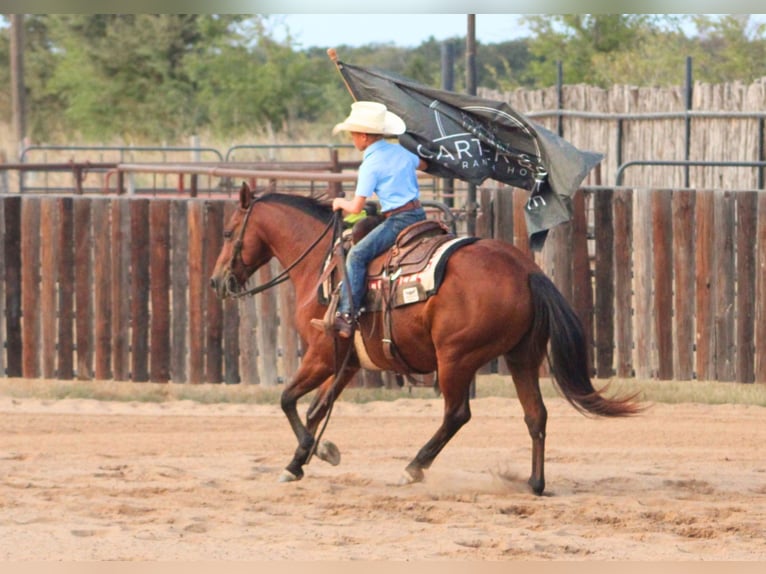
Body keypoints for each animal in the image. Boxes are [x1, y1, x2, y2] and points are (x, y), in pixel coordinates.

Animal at [209, 182, 642, 495]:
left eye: (229, 232)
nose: (217, 281)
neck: (323, 264)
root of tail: (527, 271)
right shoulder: (347, 362)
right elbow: (316, 409)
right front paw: (310, 456)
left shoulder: (321, 355)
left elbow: (287, 399)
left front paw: (305, 458)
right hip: (523, 357)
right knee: (535, 414)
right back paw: (535, 484)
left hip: (456, 358)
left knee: (457, 414)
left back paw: (413, 467)